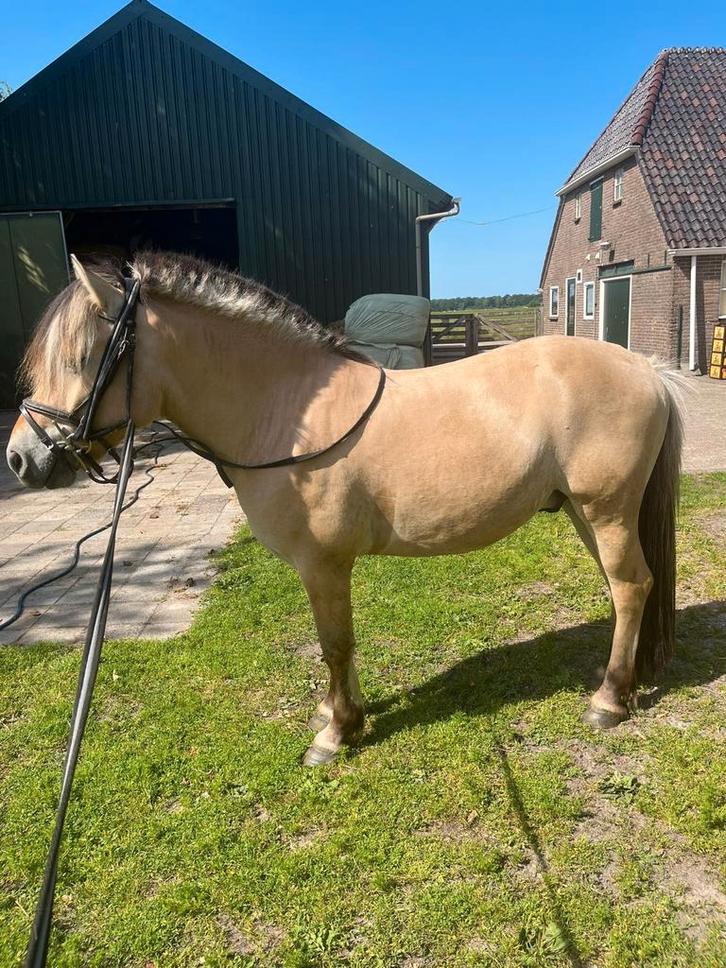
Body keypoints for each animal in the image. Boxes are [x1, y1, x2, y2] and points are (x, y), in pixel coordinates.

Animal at [6, 252, 684, 766]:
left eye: (80, 359)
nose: (21, 458)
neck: (284, 413)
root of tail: (645, 369)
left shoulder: (322, 563)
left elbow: (334, 644)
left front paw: (335, 734)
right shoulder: (328, 569)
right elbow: (344, 643)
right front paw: (344, 713)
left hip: (606, 510)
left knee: (630, 587)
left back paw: (607, 700)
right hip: (583, 512)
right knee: (627, 587)